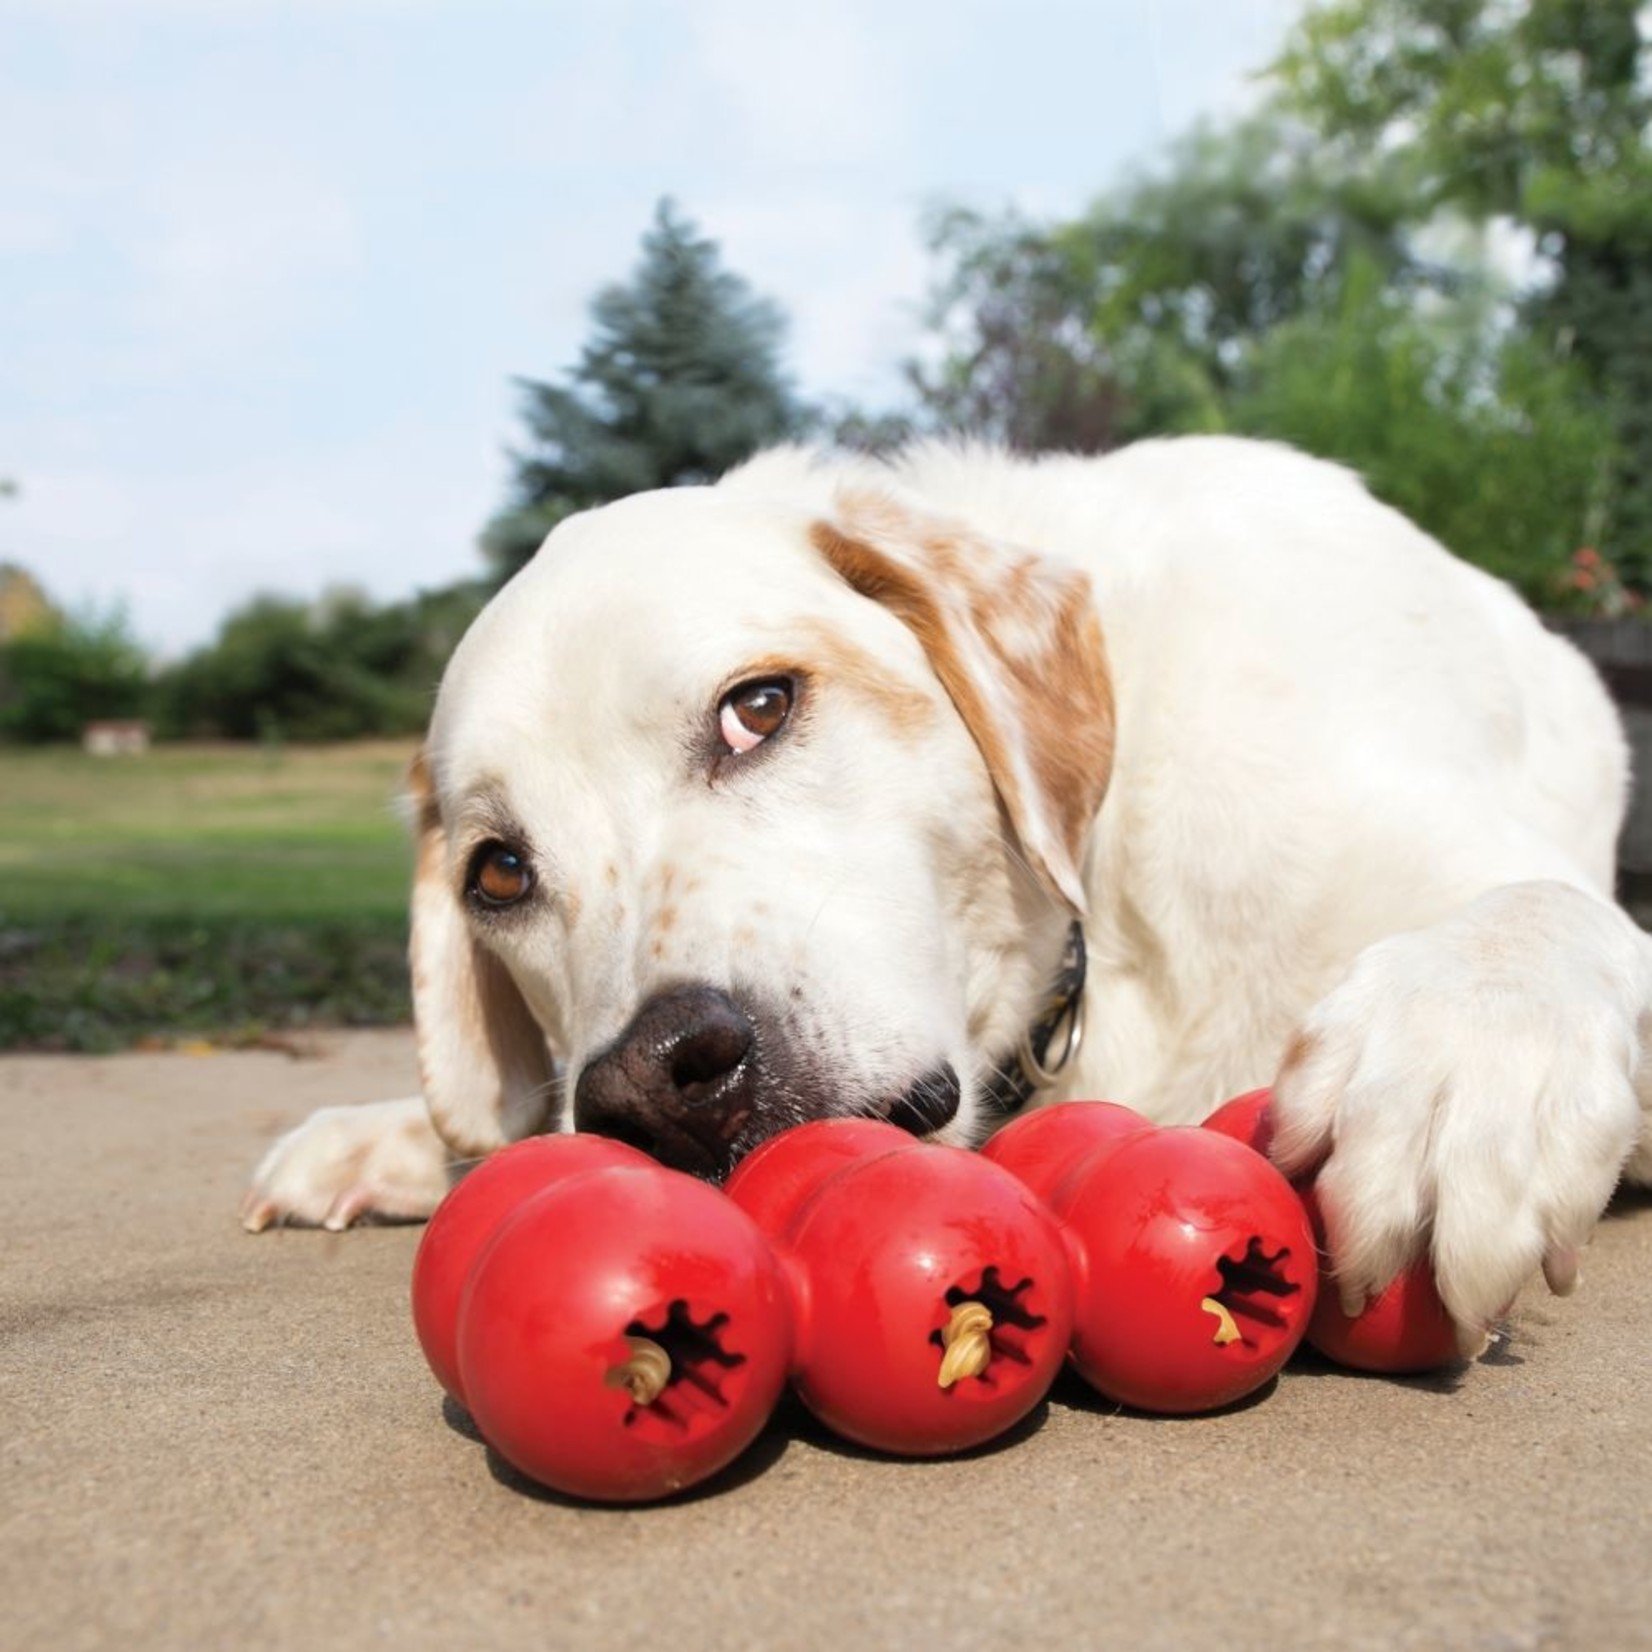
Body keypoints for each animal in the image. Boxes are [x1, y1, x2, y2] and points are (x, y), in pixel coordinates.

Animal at [241, 439, 1652, 1354]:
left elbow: (1541, 916)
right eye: (500, 871)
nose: (646, 1082)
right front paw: (405, 1134)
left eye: (758, 705)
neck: (1100, 922)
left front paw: (1461, 1065)